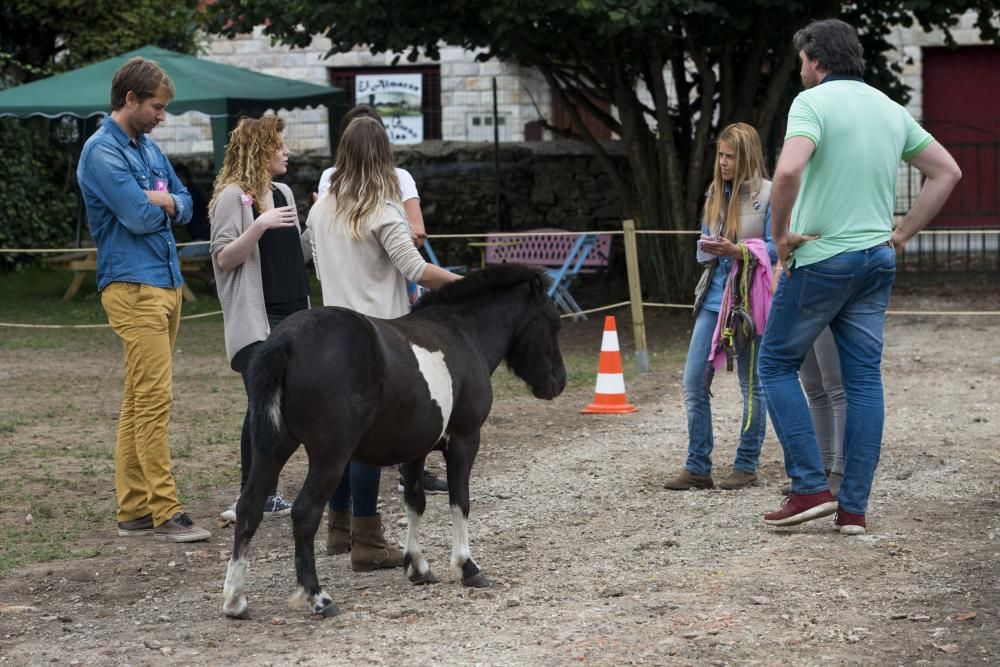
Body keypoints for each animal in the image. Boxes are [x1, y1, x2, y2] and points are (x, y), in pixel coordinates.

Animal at [227, 264, 568, 620]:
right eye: (554, 324)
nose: (558, 382)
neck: (462, 334)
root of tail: (286, 341)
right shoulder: (464, 440)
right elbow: (460, 501)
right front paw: (467, 567)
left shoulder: (415, 449)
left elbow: (415, 502)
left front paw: (418, 566)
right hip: (329, 458)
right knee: (305, 514)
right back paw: (319, 597)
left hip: (272, 449)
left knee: (249, 507)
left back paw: (236, 599)